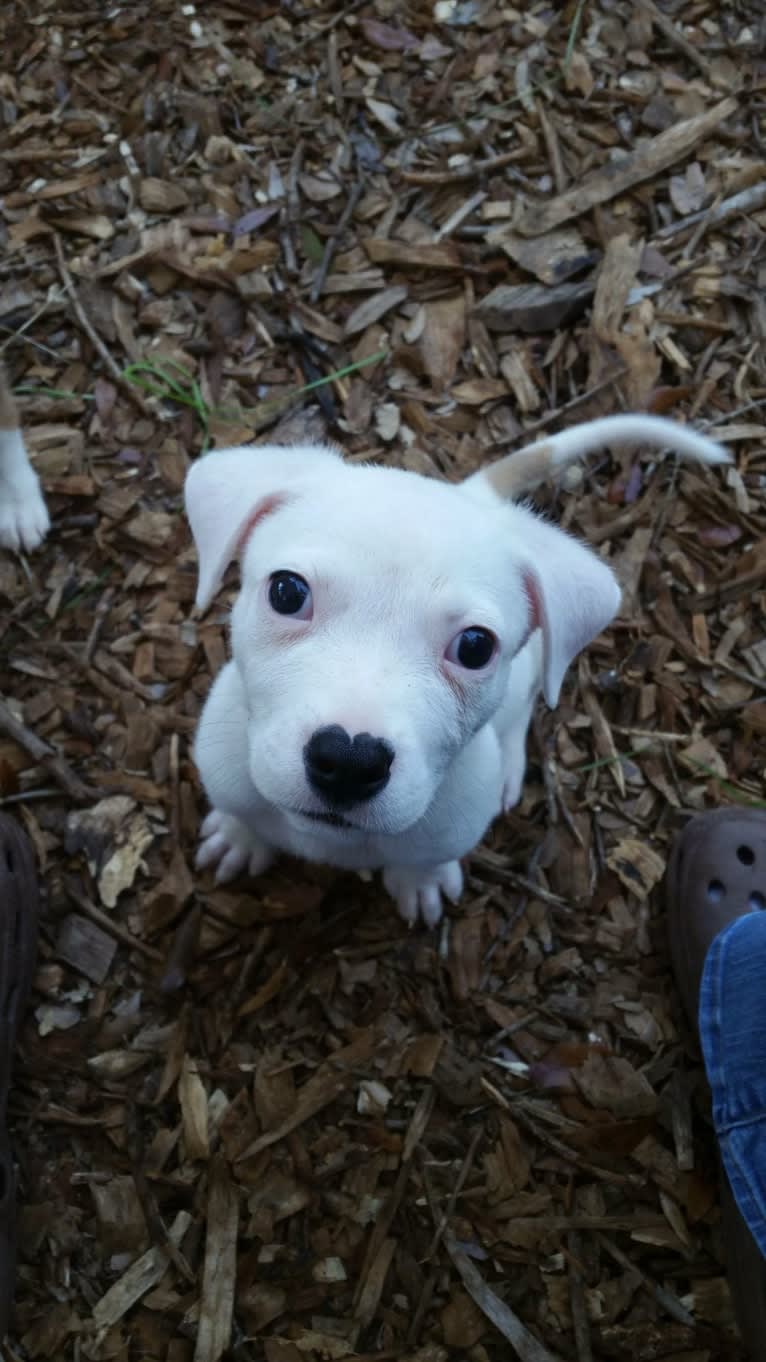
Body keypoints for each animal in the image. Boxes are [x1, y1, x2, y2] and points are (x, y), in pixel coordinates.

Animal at [186, 414, 725, 926]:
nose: (349, 761)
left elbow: (425, 859)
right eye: (287, 592)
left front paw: (419, 881)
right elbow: (242, 813)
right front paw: (240, 837)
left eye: (474, 646)